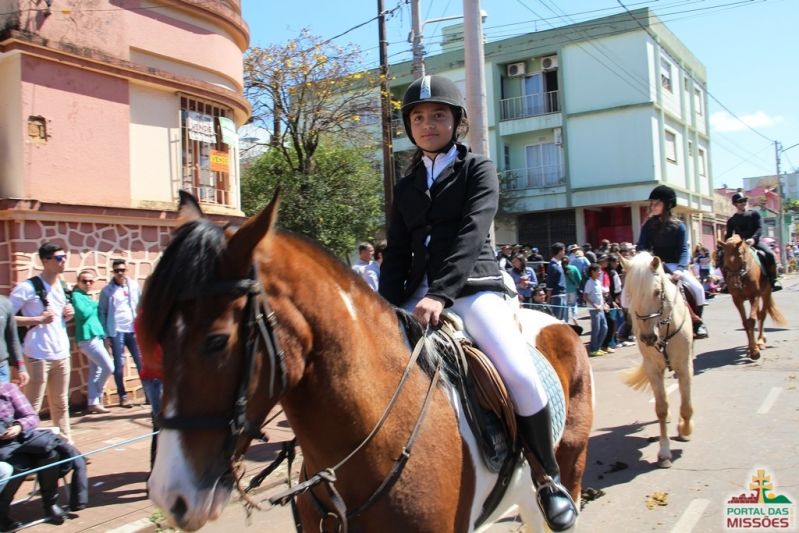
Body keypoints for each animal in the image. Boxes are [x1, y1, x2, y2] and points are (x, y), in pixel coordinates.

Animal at [618, 252, 693, 468]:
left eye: (657, 292)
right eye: (630, 293)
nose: (648, 338)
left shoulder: (685, 366)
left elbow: (686, 405)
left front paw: (684, 430)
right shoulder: (653, 369)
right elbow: (661, 408)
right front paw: (664, 453)